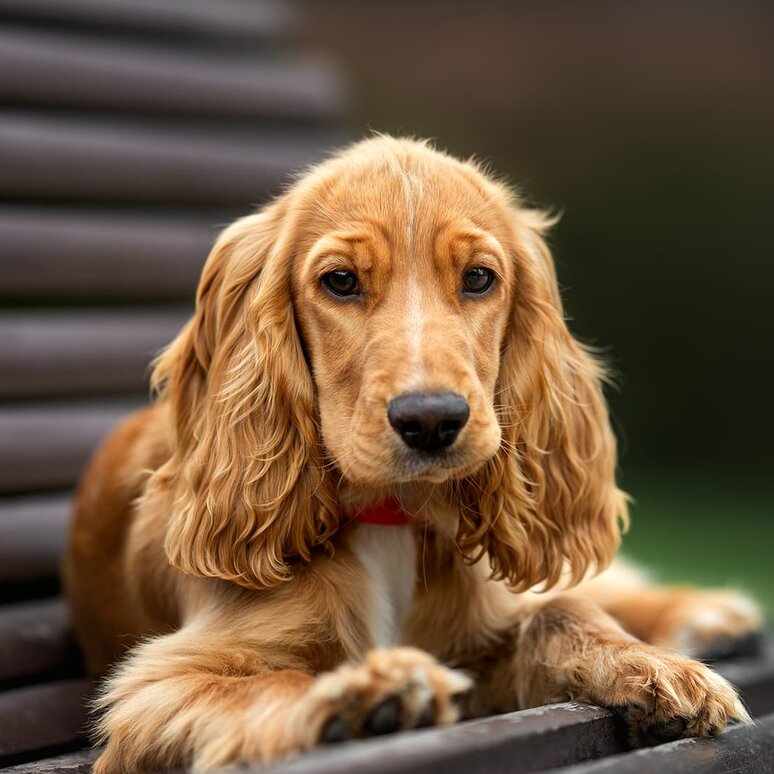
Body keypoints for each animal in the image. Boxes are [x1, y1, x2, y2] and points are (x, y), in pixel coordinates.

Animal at [63, 136, 760, 772]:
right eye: (340, 281)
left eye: (478, 278)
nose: (432, 420)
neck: (390, 518)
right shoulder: (158, 687)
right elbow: (267, 684)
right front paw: (359, 698)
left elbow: (559, 610)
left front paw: (654, 666)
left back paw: (704, 613)